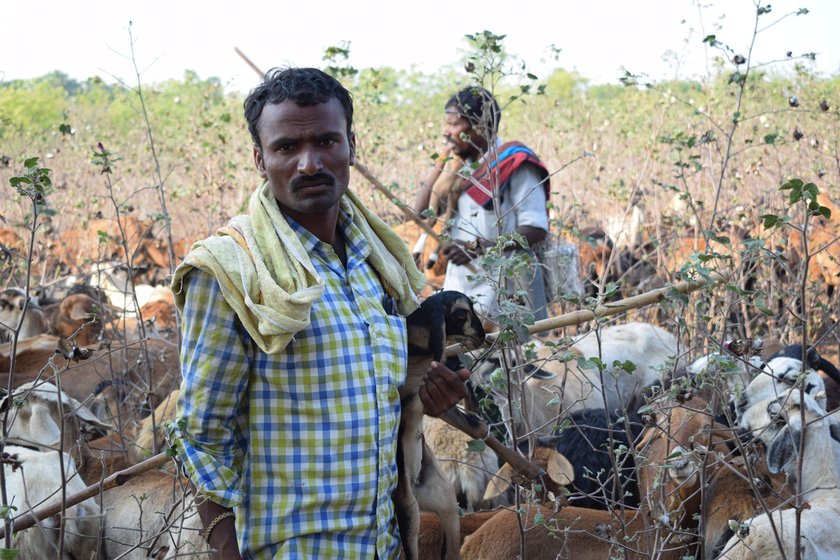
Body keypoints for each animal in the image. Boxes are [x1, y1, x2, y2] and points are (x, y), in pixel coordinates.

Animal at [398, 290, 488, 560]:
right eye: (461, 313)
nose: (483, 335)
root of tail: (416, 487)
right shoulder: (413, 395)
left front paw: (481, 426)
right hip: (409, 509)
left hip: (445, 499)